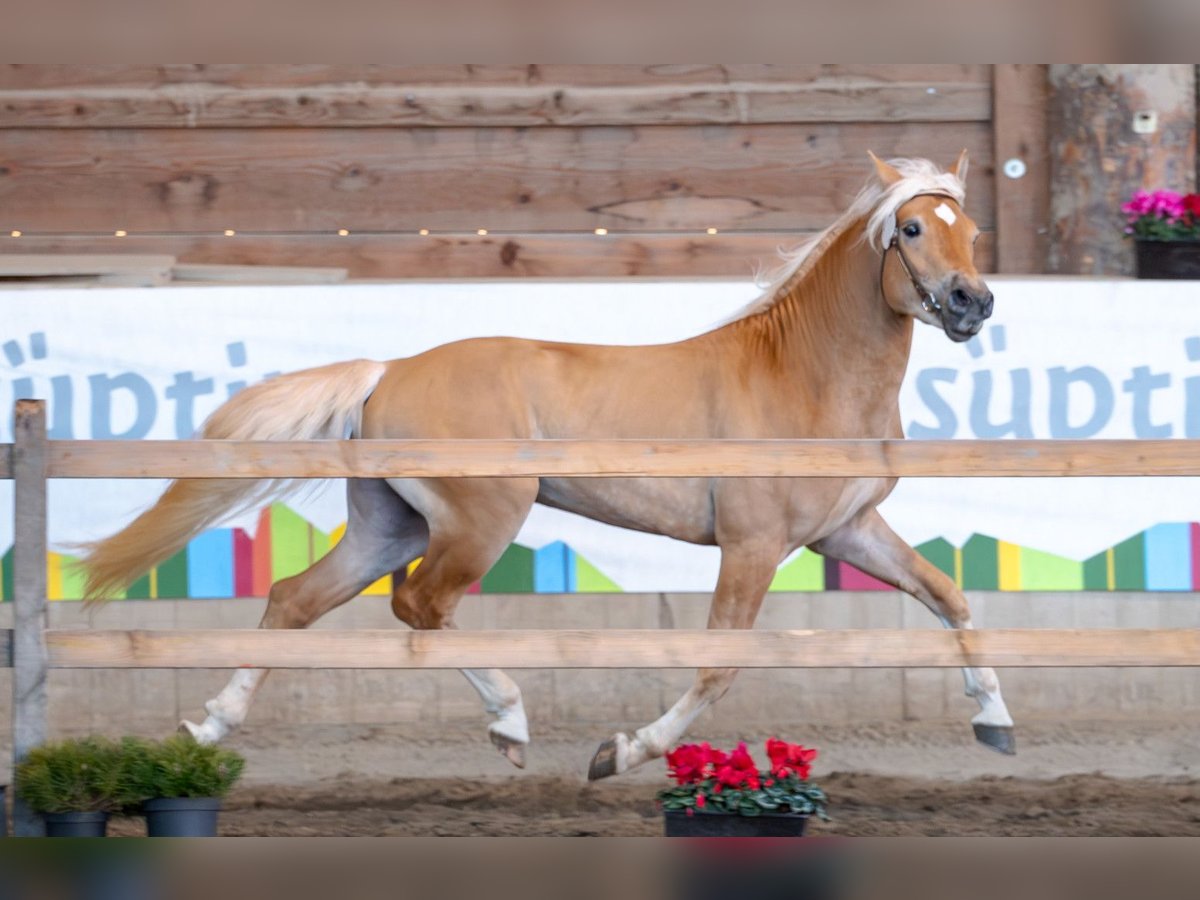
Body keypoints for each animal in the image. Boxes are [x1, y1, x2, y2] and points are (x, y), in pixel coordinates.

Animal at [77, 151, 1012, 777]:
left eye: (974, 229)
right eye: (912, 228)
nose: (973, 304)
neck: (802, 375)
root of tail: (389, 370)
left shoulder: (846, 531)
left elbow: (951, 599)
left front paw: (996, 724)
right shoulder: (752, 546)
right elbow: (718, 663)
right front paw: (622, 751)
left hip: (391, 525)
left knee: (294, 600)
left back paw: (209, 727)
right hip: (483, 520)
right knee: (419, 606)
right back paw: (511, 723)